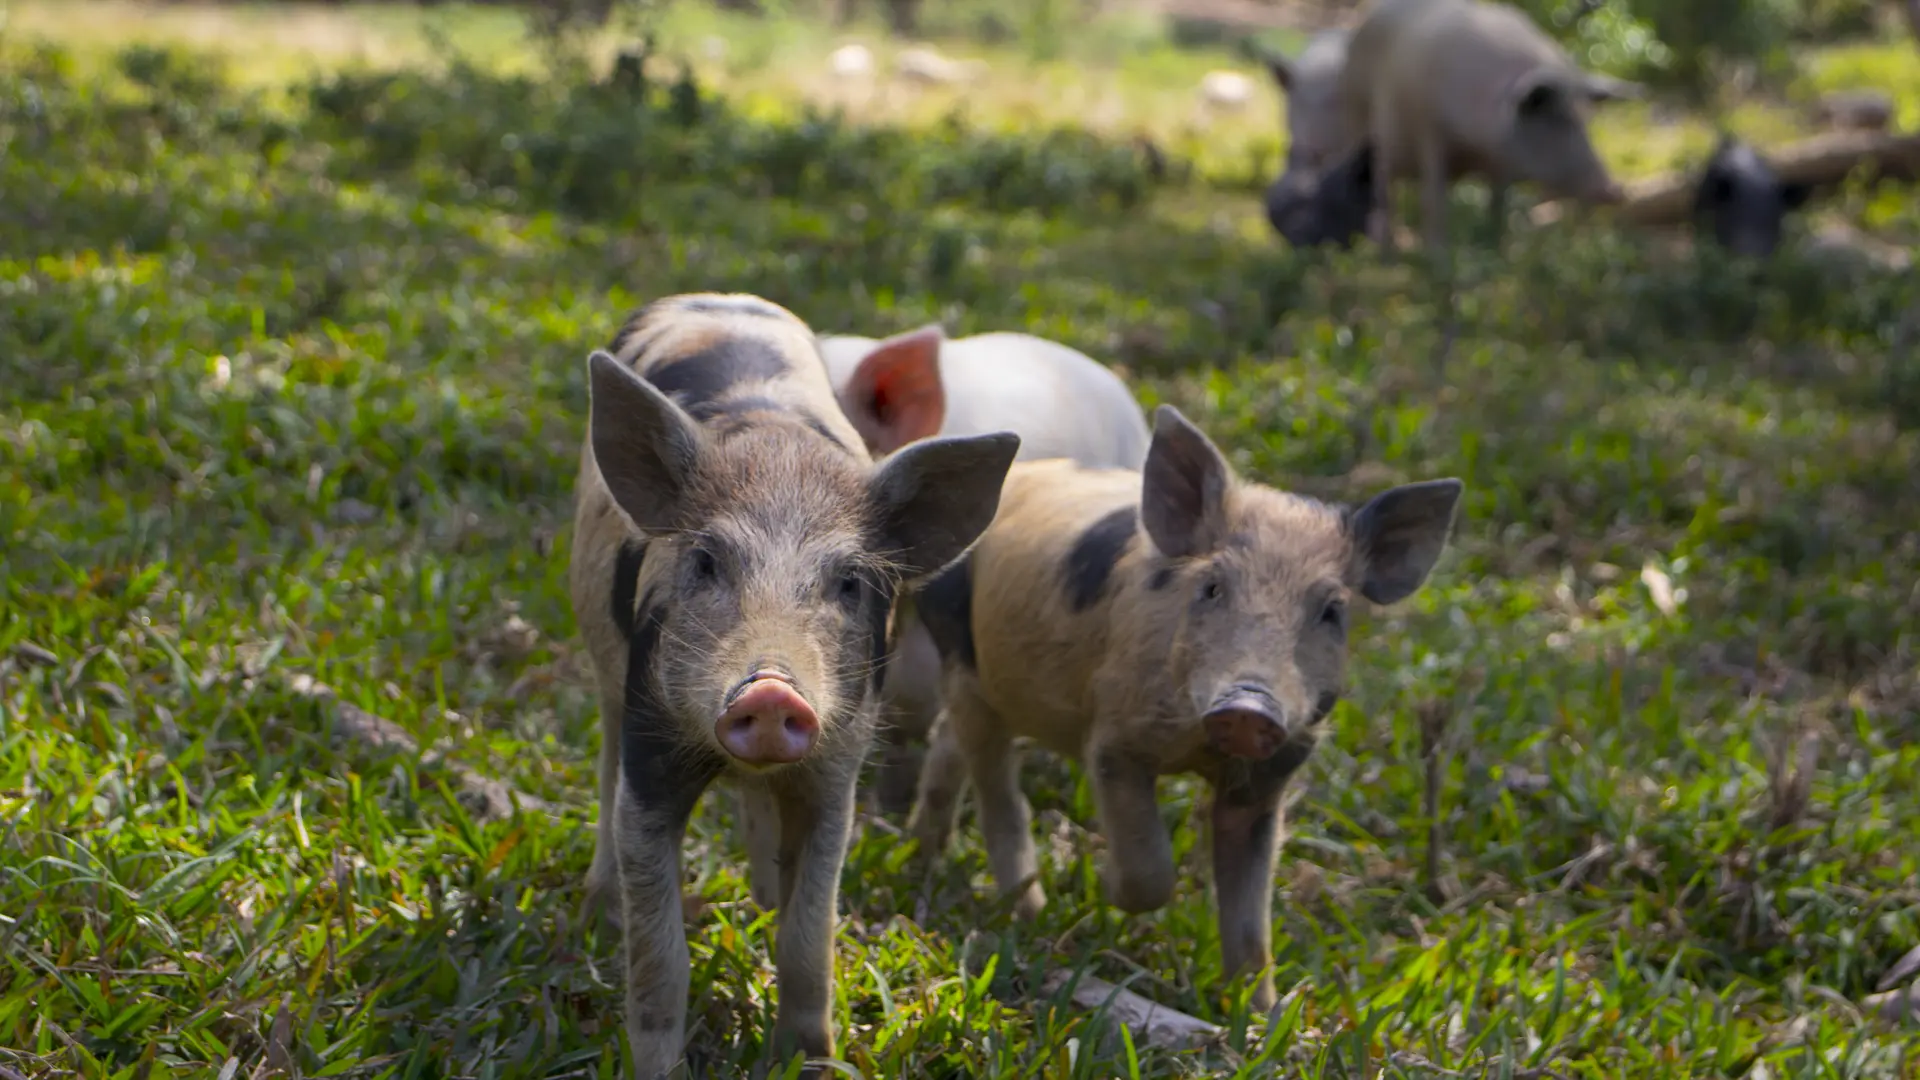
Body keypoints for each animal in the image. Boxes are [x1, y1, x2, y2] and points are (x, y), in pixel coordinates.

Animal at [568, 290, 1021, 1068]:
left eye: (849, 582)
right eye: (706, 562)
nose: (772, 690)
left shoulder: (837, 764)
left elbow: (809, 936)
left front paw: (812, 1062)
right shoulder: (650, 739)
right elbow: (659, 959)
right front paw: (659, 1066)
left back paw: (757, 896)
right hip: (604, 669)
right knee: (602, 769)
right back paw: (601, 909)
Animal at [906, 403, 1459, 1006]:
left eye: (1332, 610)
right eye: (1213, 588)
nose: (1249, 705)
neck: (1200, 749)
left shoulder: (1268, 778)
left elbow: (1252, 919)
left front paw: (1259, 1017)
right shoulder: (1114, 739)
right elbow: (1150, 872)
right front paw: (1103, 887)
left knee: (947, 741)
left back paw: (922, 855)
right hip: (961, 651)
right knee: (998, 791)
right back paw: (1026, 912)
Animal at [1336, 0, 1635, 255]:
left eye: (1586, 119)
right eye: (1555, 119)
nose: (1615, 191)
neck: (1475, 146)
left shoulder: (1501, 161)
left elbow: (1497, 205)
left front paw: (1495, 252)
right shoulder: (1430, 132)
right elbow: (1434, 202)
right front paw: (1438, 262)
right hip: (1367, 124)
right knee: (1385, 190)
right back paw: (1388, 257)